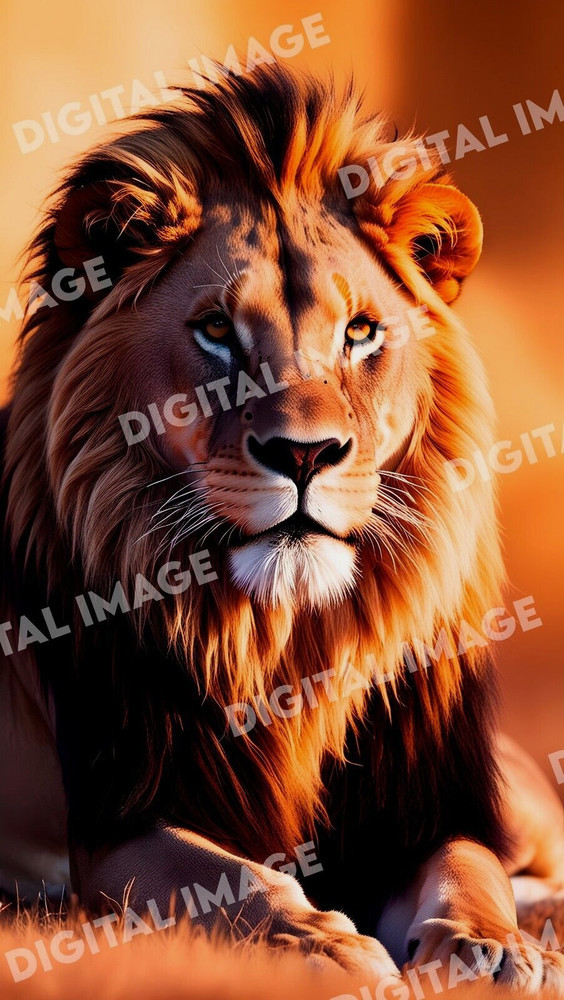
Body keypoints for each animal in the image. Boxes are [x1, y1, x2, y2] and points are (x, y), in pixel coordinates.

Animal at [1, 65, 563, 993]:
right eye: (216, 332)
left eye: (361, 332)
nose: (305, 454)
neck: (286, 642)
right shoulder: (116, 820)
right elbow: (218, 875)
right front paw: (324, 944)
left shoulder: (423, 804)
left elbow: (468, 864)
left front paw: (486, 948)